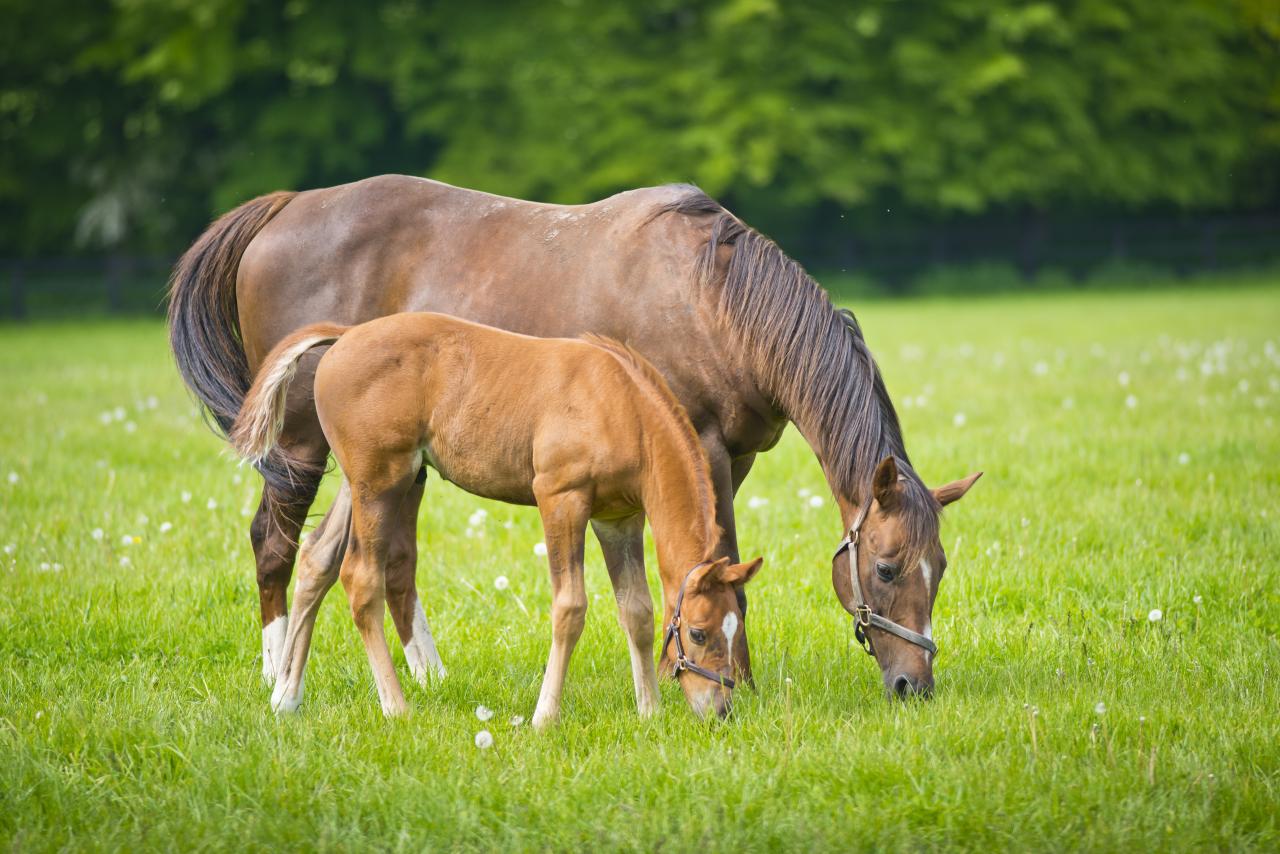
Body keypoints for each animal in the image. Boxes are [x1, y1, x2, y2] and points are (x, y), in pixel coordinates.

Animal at [231, 311, 757, 727]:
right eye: (698, 632)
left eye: (735, 627)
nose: (720, 711)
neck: (622, 404)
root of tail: (345, 335)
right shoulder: (561, 498)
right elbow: (570, 607)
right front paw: (546, 716)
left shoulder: (618, 518)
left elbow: (638, 611)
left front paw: (648, 712)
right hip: (381, 485)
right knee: (360, 578)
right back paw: (395, 707)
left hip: (363, 482)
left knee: (316, 558)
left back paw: (286, 697)